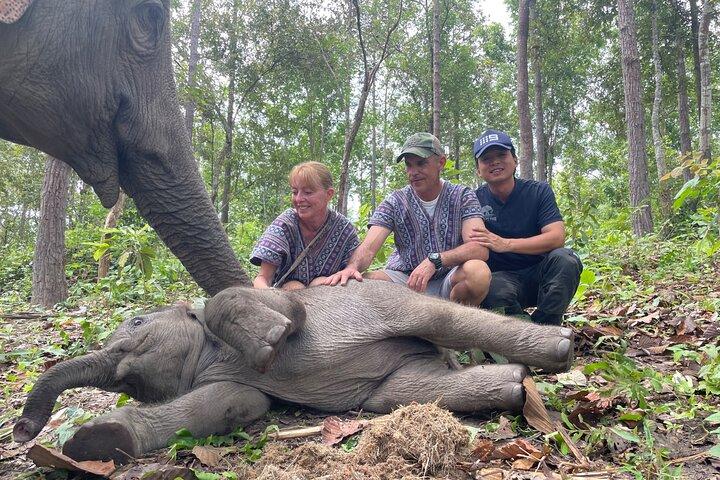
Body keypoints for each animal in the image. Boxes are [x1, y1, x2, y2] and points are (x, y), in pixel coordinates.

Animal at [13, 281, 574, 464]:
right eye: (126, 385)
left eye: (135, 323)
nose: (20, 429)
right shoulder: (220, 386)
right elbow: (239, 403)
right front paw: (94, 441)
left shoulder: (278, 299)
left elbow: (285, 313)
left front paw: (271, 342)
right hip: (402, 377)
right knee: (399, 392)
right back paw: (515, 386)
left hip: (386, 299)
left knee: (443, 319)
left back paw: (561, 348)